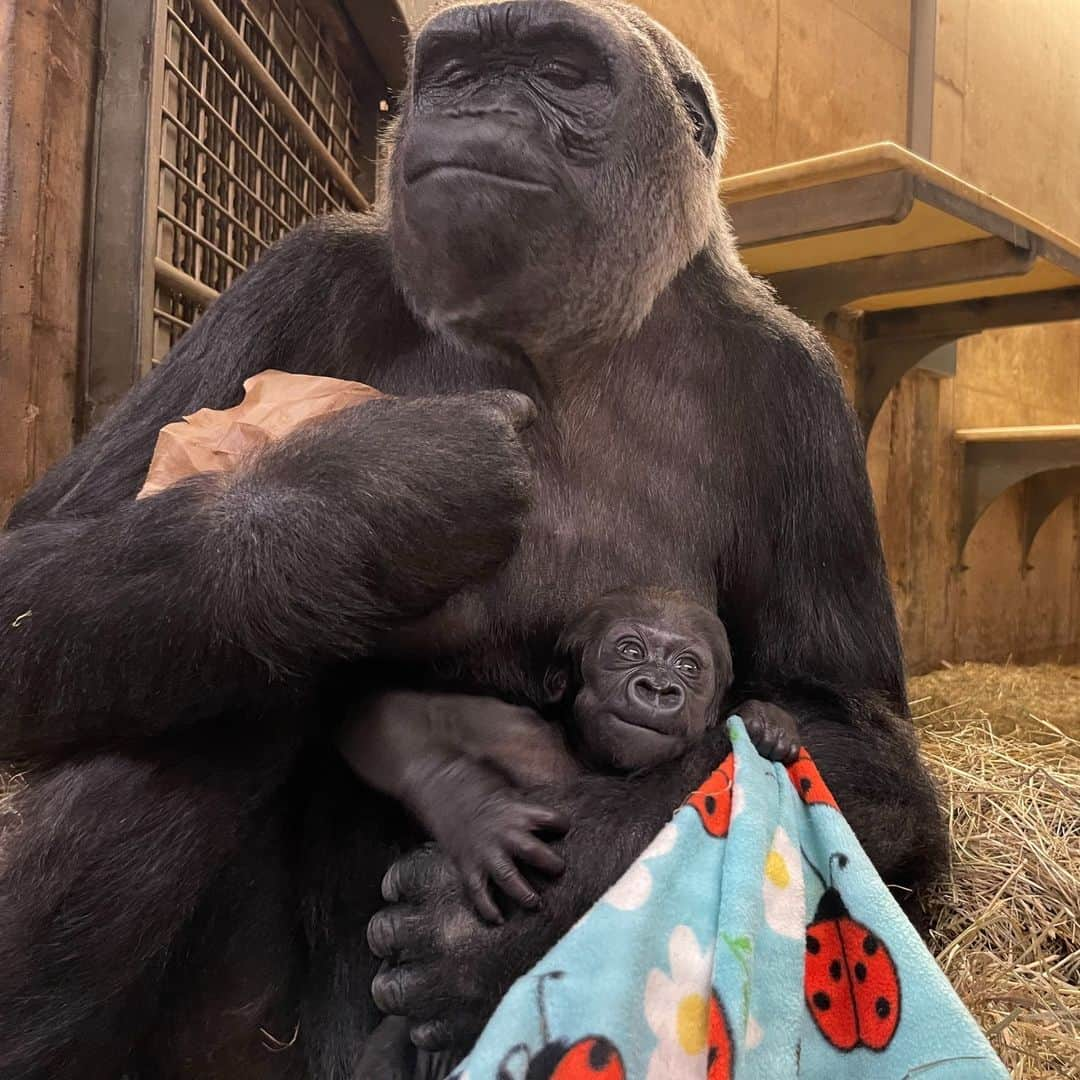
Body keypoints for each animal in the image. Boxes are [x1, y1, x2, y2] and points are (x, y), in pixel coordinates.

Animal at [341, 587, 799, 924]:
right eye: (630, 652)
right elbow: (382, 714)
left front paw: (766, 722)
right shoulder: (509, 732)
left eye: (688, 667)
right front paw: (475, 812)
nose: (657, 687)